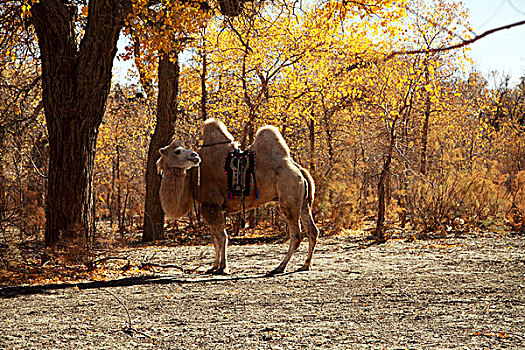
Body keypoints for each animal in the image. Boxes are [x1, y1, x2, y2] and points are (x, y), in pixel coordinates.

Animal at [157, 119, 320, 274]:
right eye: (177, 151)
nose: (194, 156)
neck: (193, 176)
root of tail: (299, 170)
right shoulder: (214, 207)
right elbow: (215, 238)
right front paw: (213, 267)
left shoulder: (211, 203)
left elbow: (221, 237)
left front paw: (222, 268)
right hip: (303, 202)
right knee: (312, 231)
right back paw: (305, 265)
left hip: (289, 200)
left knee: (296, 236)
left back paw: (279, 267)